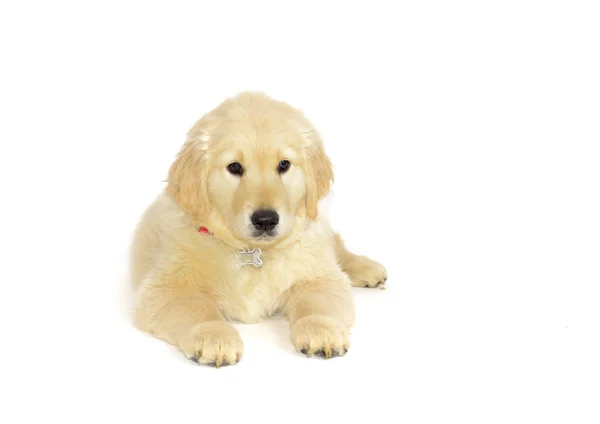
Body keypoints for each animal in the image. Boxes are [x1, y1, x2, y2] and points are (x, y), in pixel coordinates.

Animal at [129, 91, 386, 366]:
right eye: (234, 167)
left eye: (284, 164)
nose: (265, 220)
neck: (252, 254)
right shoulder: (166, 287)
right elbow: (199, 309)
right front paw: (214, 336)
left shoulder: (320, 275)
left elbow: (317, 303)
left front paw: (321, 331)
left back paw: (367, 268)